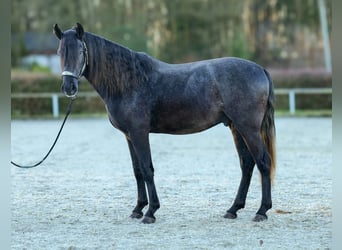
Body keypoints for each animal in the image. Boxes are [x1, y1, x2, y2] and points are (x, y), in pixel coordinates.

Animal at [53, 22, 276, 224]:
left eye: (81, 51)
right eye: (60, 51)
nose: (68, 87)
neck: (129, 82)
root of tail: (260, 69)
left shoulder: (139, 133)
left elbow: (147, 168)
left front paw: (150, 212)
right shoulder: (129, 136)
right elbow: (137, 171)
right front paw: (138, 209)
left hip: (248, 128)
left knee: (263, 162)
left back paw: (262, 211)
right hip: (236, 128)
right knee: (247, 164)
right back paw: (233, 209)